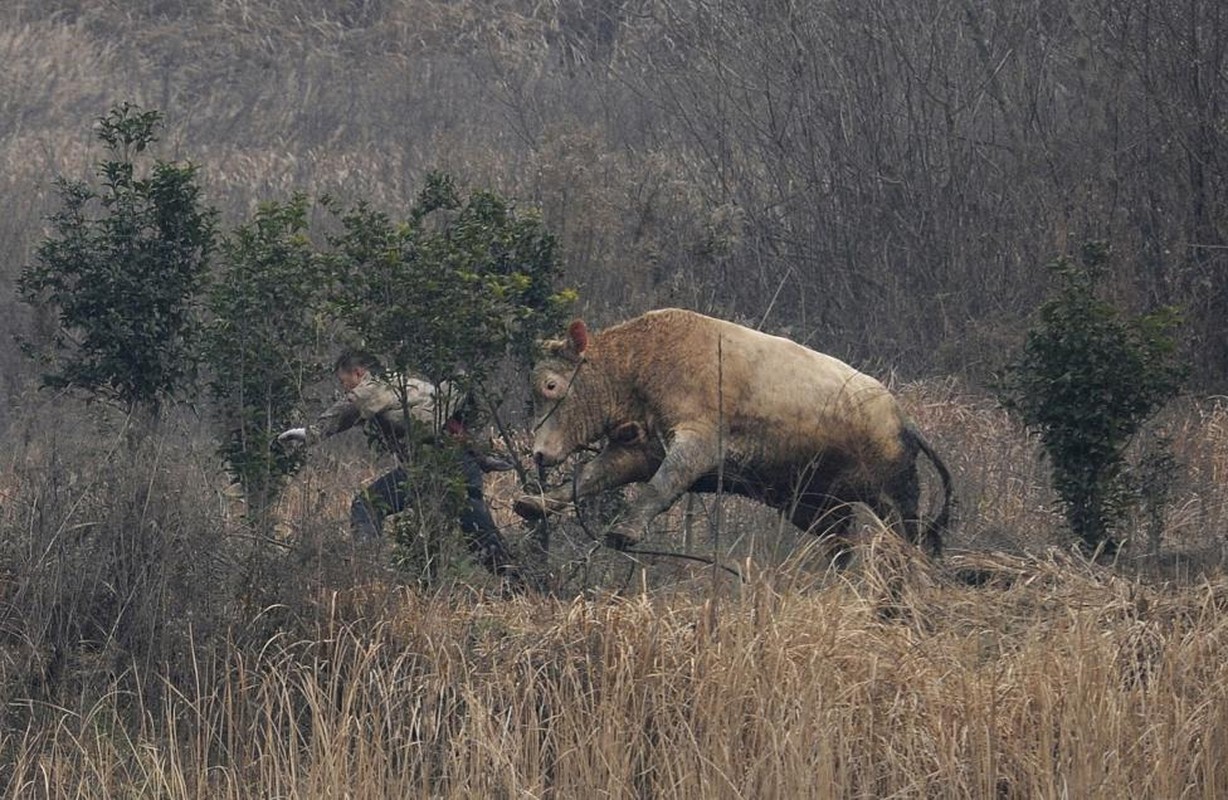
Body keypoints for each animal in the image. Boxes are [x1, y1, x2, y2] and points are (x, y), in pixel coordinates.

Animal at [513, 308, 952, 557]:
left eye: (551, 385)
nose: (538, 453)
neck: (641, 363)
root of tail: (905, 421)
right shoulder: (639, 450)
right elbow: (588, 476)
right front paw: (536, 502)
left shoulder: (699, 442)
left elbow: (661, 485)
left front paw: (625, 530)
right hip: (821, 509)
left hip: (894, 502)